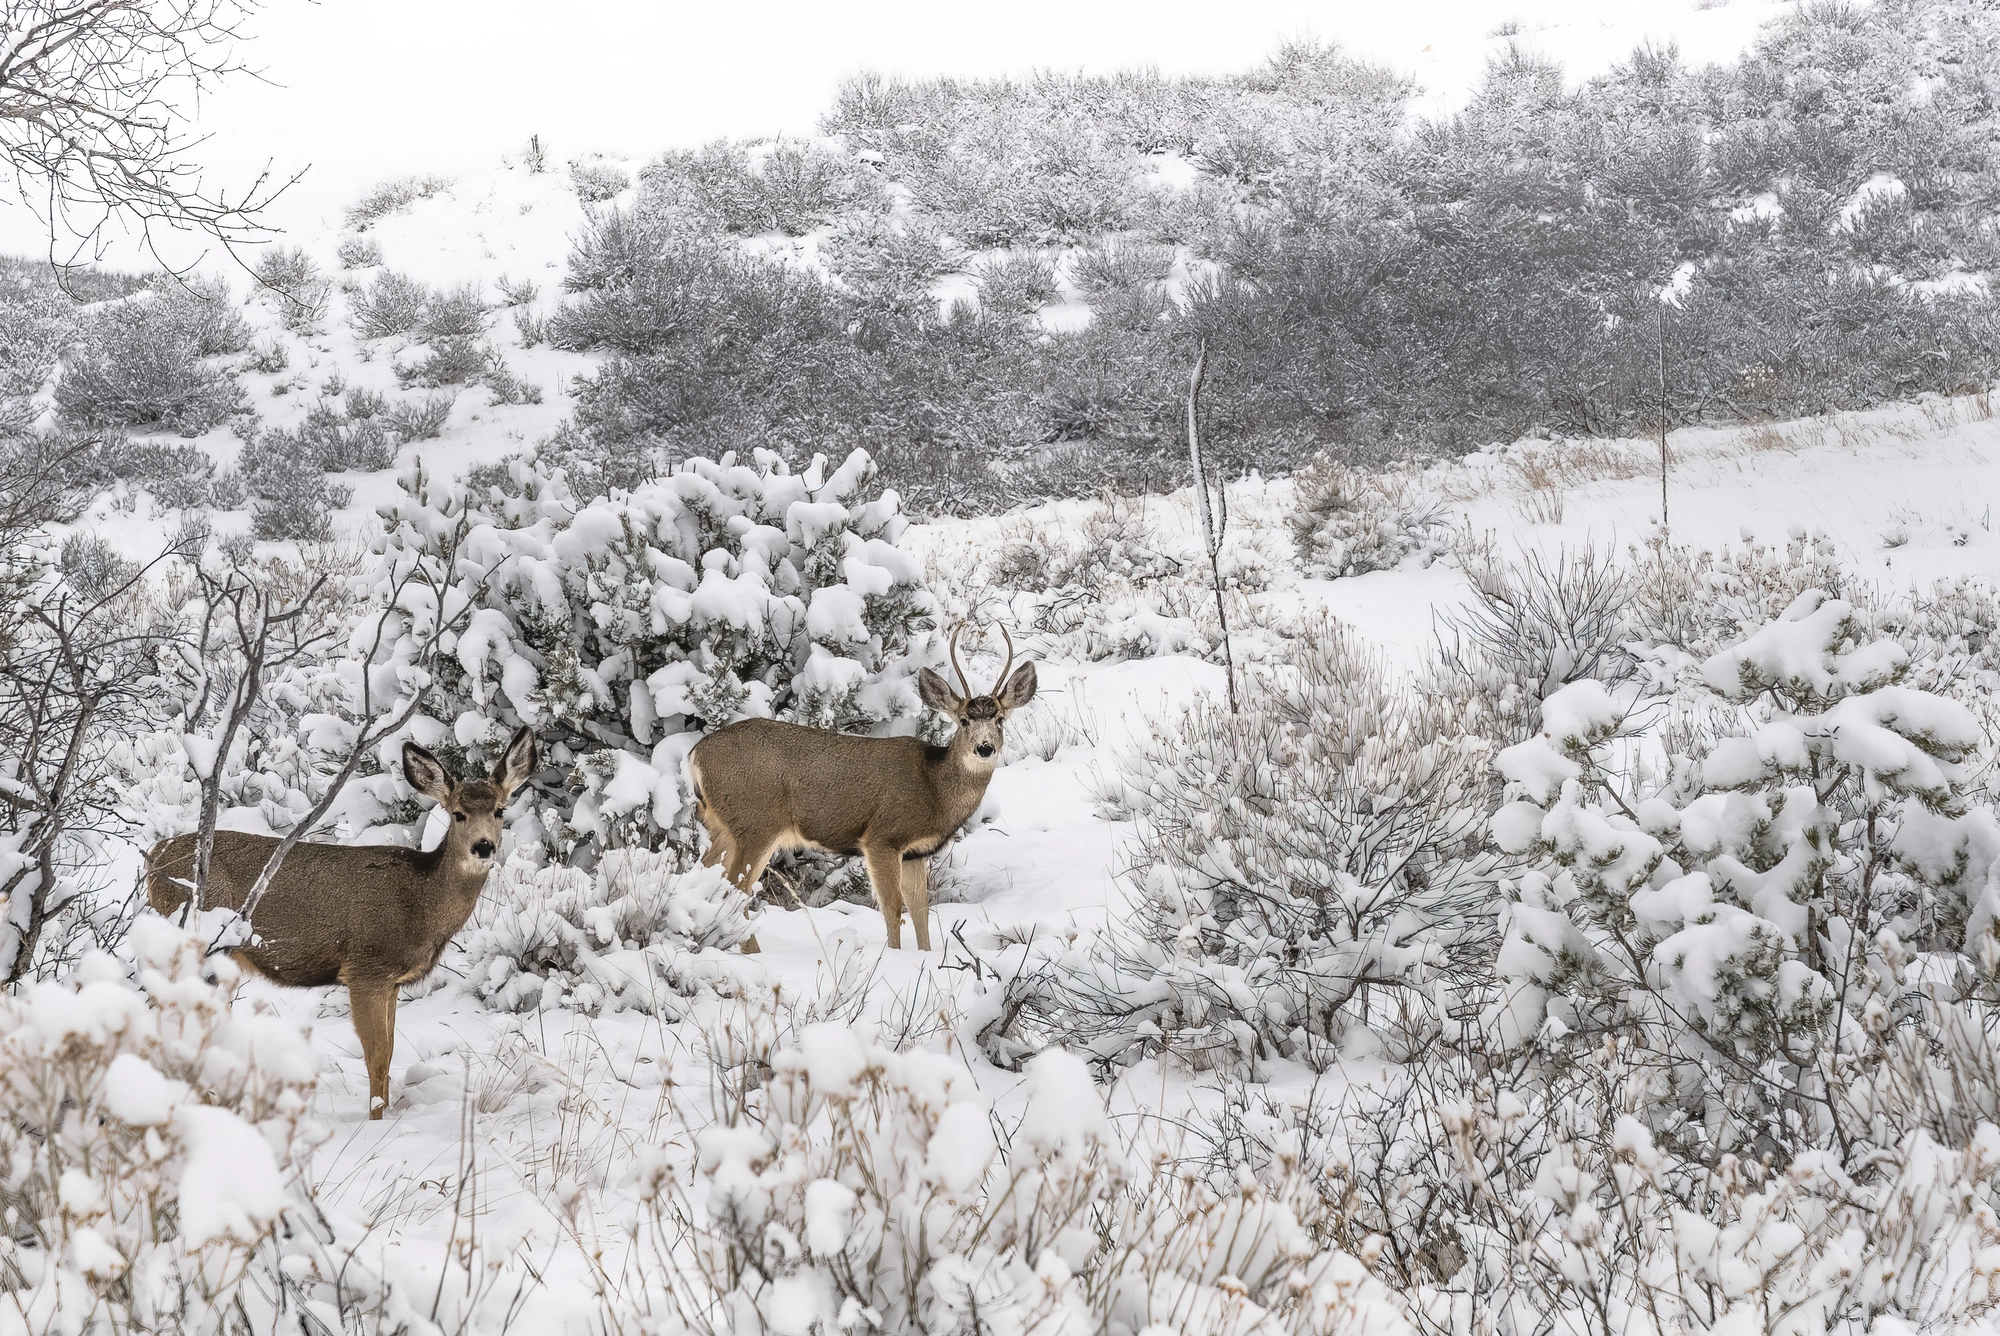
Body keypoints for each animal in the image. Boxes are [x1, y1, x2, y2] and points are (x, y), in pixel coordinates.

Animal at [145, 727, 536, 1121]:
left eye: (500, 810)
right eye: (457, 814)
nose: (483, 846)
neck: (420, 901)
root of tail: (154, 856)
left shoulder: (392, 981)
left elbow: (389, 1053)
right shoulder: (367, 969)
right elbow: (376, 1057)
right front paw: (375, 1120)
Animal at [689, 625, 1036, 952]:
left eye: (1000, 719)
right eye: (964, 720)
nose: (985, 748)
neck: (934, 787)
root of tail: (695, 756)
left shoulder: (916, 852)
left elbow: (921, 911)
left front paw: (924, 955)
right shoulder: (882, 837)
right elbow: (893, 908)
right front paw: (894, 957)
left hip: (724, 827)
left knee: (703, 877)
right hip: (756, 824)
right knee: (736, 889)